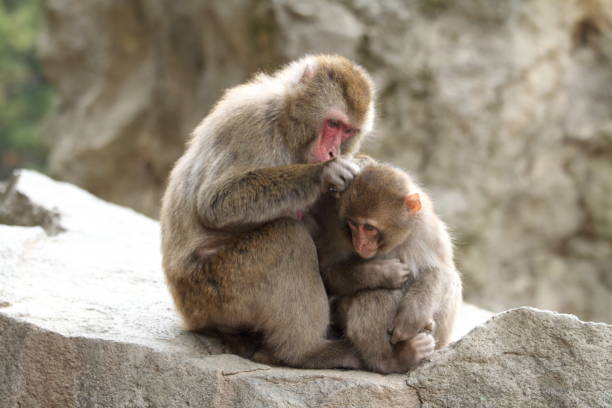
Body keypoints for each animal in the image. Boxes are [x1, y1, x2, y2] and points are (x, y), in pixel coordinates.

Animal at [160, 55, 376, 370]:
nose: (333, 152)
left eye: (348, 131)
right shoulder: (249, 125)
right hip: (213, 290)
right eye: (333, 123)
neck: (287, 127)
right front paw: (323, 173)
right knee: (287, 238)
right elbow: (216, 203)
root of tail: (188, 313)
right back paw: (306, 352)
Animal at [308, 159, 462, 372]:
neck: (395, 241)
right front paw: (384, 273)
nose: (360, 243)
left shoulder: (428, 228)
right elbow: (327, 270)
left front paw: (412, 316)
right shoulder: (336, 227)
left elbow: (442, 270)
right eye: (353, 224)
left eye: (369, 228)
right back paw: (394, 359)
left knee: (452, 282)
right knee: (379, 292)